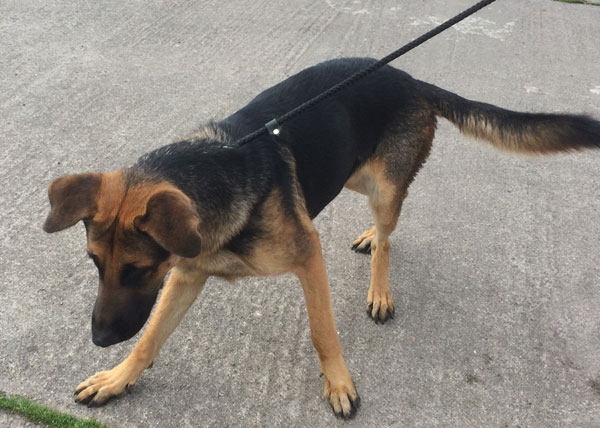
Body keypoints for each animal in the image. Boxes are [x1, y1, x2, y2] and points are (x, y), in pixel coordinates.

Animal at [43, 56, 600, 418]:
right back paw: (369, 236)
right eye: (95, 263)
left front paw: (338, 383)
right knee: (383, 218)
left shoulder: (307, 256)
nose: (98, 339)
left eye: (138, 269)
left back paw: (379, 282)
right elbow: (151, 336)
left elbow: (321, 332)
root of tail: (410, 78)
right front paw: (117, 378)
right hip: (350, 171)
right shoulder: (185, 275)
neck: (220, 169)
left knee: (391, 231)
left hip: (382, 184)